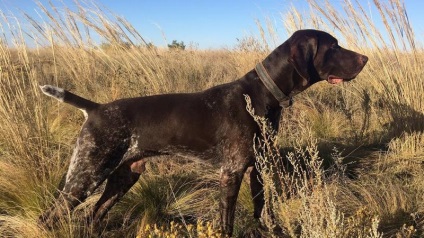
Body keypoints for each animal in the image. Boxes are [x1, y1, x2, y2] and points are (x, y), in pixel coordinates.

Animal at [38, 28, 366, 235]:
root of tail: (95, 108)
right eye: (333, 46)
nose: (365, 58)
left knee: (94, 216)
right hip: (86, 174)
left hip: (124, 176)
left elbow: (262, 212)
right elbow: (227, 223)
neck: (262, 94)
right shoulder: (231, 172)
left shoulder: (257, 169)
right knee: (49, 217)